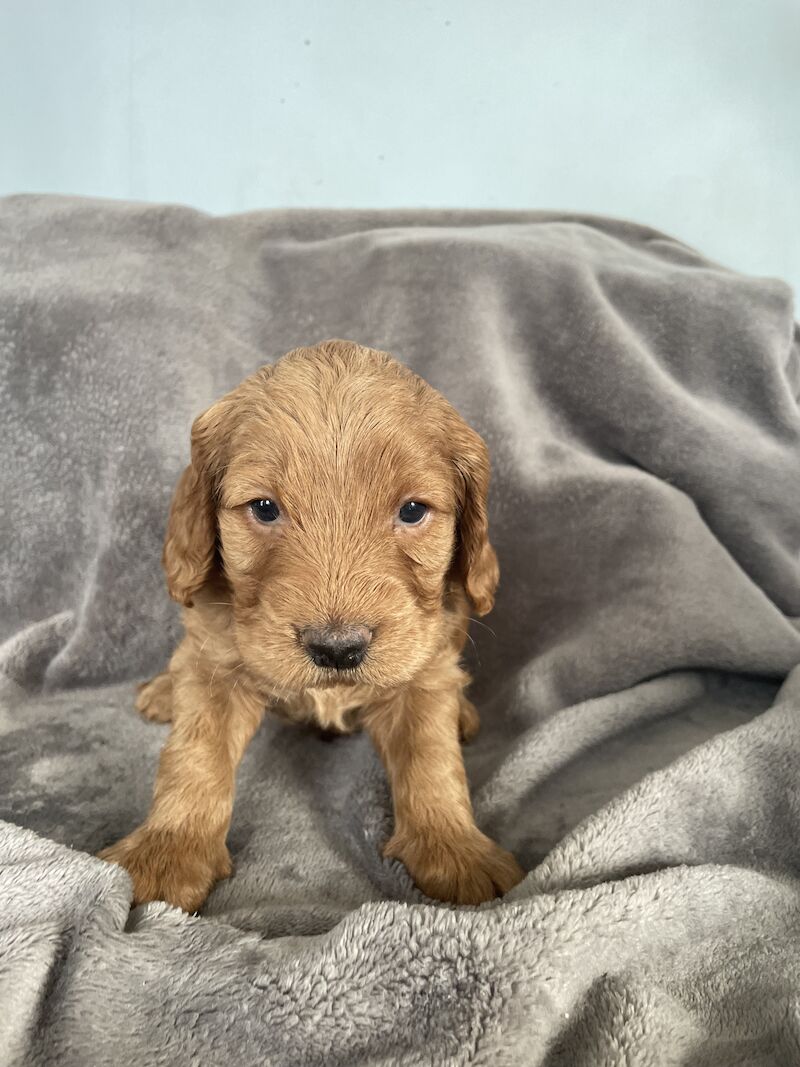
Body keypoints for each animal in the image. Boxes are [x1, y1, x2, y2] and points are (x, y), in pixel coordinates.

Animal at [100, 339, 522, 909]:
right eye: (263, 508)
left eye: (413, 511)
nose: (337, 650)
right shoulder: (215, 662)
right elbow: (194, 753)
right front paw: (167, 850)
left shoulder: (427, 668)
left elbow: (432, 759)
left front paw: (454, 848)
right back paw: (164, 692)